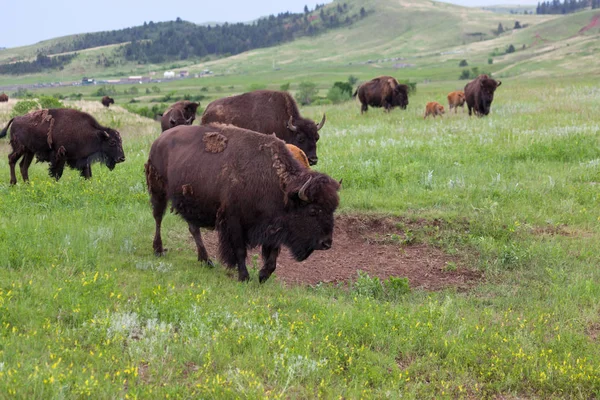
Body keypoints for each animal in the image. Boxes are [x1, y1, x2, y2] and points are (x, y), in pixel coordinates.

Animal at [145, 123, 340, 282]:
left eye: (332, 209)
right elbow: (240, 250)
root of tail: (159, 140)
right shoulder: (234, 221)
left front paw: (262, 276)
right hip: (158, 192)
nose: (326, 243)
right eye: (313, 211)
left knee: (194, 229)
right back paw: (158, 250)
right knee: (158, 218)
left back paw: (206, 260)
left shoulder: (273, 226)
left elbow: (272, 256)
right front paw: (244, 277)